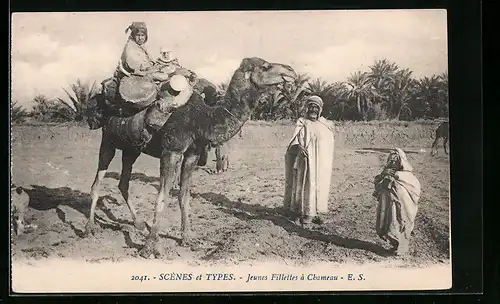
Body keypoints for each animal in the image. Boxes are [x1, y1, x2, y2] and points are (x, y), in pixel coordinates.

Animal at [85, 57, 296, 256]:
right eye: (266, 66)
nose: (291, 71)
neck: (201, 120)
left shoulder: (192, 155)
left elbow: (184, 196)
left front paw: (188, 238)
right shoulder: (171, 152)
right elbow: (161, 197)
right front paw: (150, 248)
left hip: (131, 149)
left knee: (123, 183)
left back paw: (138, 223)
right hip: (108, 141)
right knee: (97, 183)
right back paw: (89, 229)